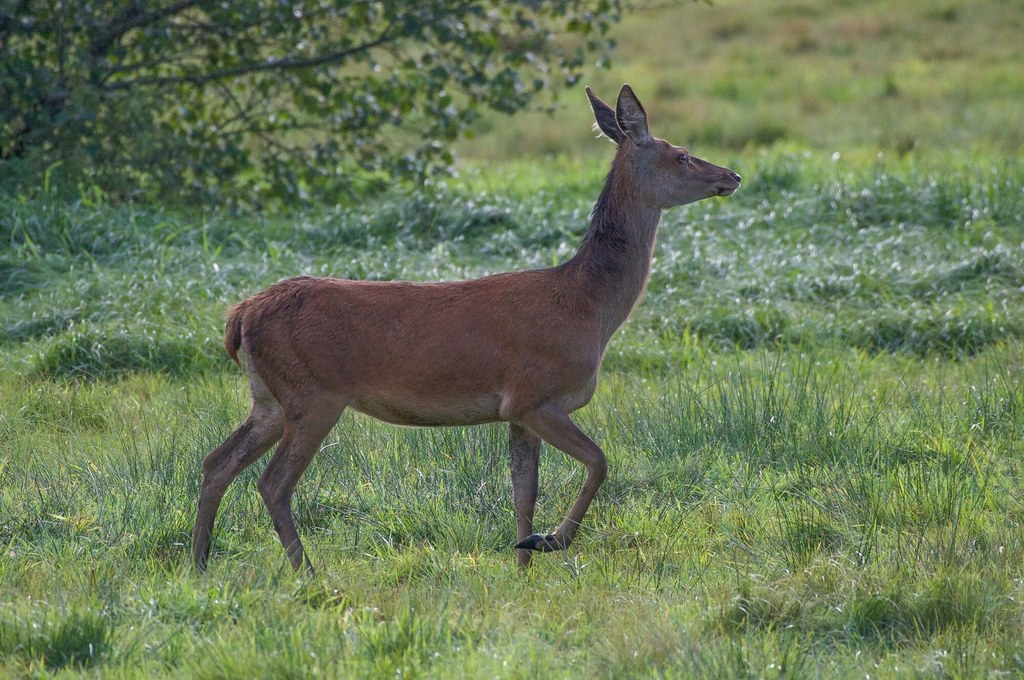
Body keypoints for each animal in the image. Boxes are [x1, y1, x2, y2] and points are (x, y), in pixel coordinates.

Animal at [190, 86, 737, 573]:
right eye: (681, 155)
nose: (731, 174)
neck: (588, 307)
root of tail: (240, 315)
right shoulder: (536, 394)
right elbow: (599, 462)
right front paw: (553, 541)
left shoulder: (516, 411)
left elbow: (523, 492)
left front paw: (524, 560)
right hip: (312, 394)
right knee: (272, 482)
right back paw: (307, 572)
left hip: (269, 398)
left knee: (216, 461)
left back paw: (199, 563)